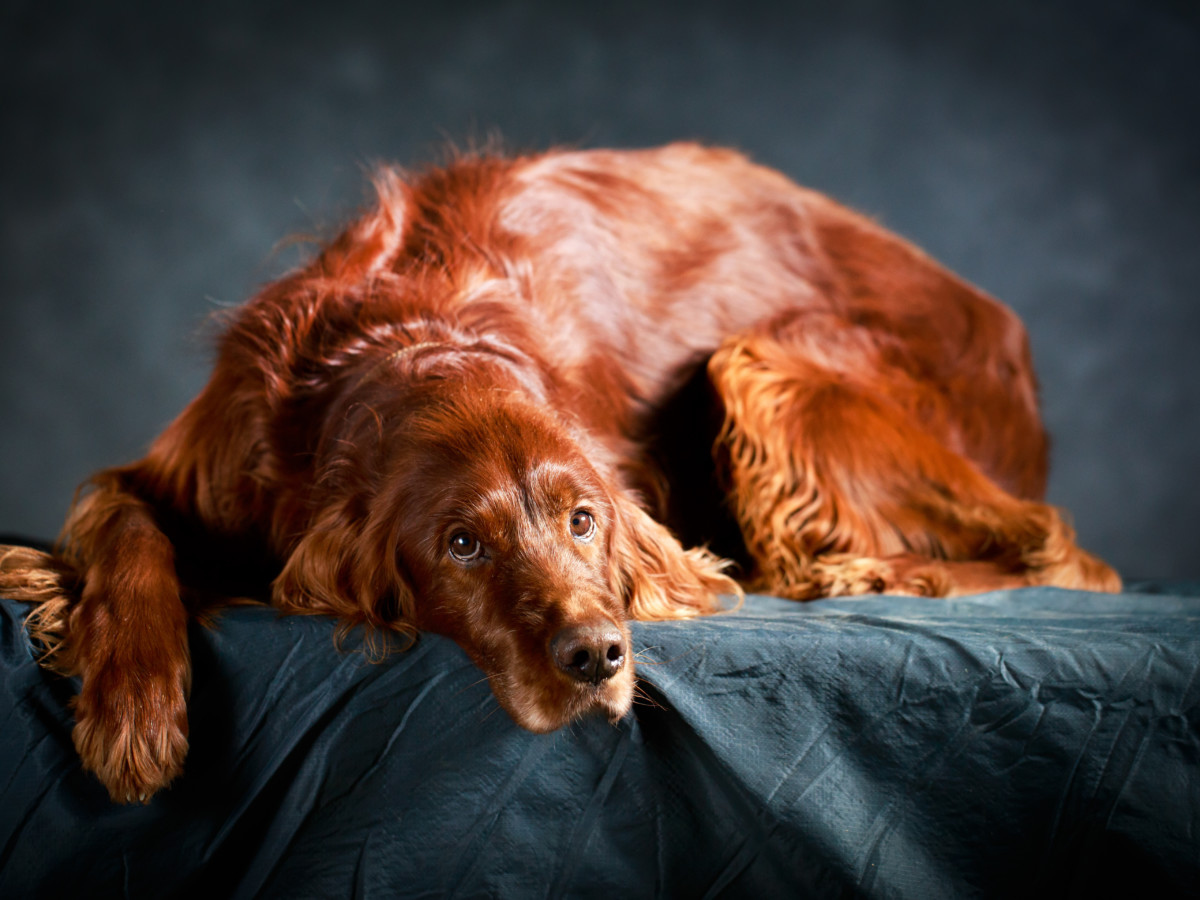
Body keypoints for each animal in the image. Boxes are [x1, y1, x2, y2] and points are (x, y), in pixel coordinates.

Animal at [0, 144, 1123, 806]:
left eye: (585, 520)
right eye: (461, 544)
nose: (597, 657)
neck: (415, 331)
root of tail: (1006, 334)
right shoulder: (172, 470)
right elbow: (127, 536)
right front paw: (136, 711)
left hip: (764, 362)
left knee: (1061, 546)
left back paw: (869, 571)